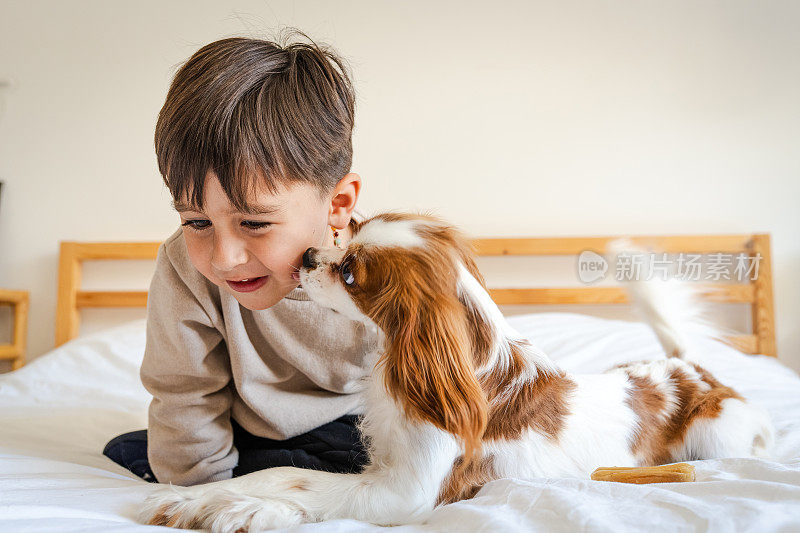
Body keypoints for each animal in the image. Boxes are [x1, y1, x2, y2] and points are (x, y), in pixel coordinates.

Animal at [141, 213, 772, 532]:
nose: (308, 256)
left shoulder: (407, 493)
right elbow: (285, 474)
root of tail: (685, 365)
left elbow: (307, 484)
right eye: (348, 229)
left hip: (716, 438)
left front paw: (238, 508)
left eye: (349, 274)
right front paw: (203, 497)